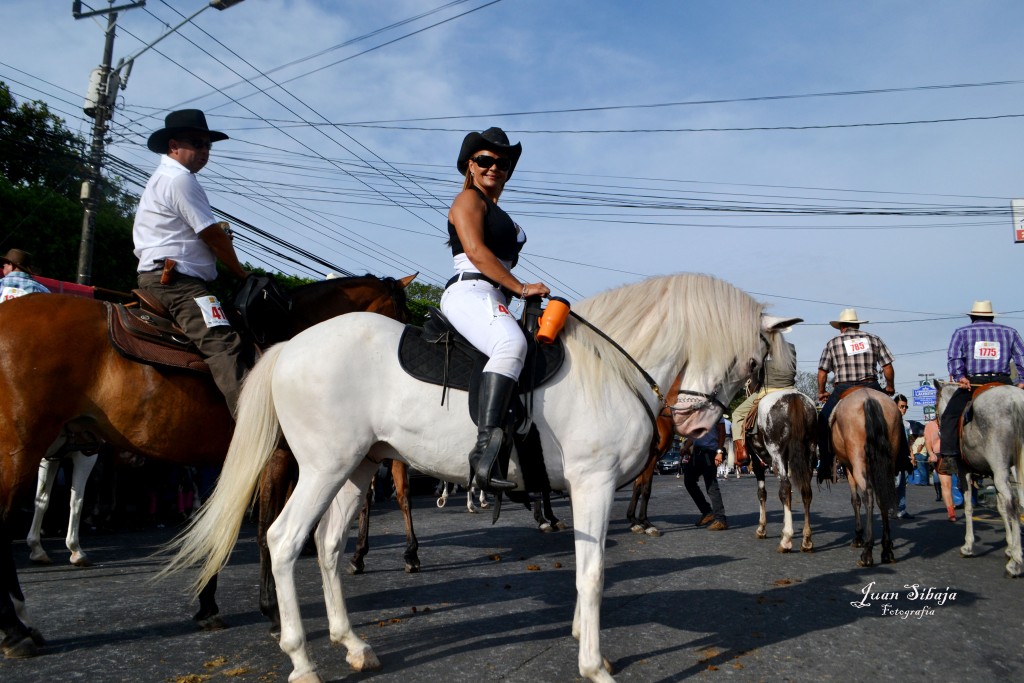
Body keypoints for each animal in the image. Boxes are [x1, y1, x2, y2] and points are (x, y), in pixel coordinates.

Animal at [1, 274, 415, 626]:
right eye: (403, 318)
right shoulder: (275, 457)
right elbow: (264, 525)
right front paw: (271, 607)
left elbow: (221, 518)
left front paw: (208, 602)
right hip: (23, 445)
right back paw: (17, 625)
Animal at [161, 274, 790, 683]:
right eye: (754, 361)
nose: (698, 428)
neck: (611, 366)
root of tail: (290, 346)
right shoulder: (593, 483)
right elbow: (592, 575)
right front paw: (593, 664)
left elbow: (584, 569)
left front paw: (584, 641)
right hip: (323, 467)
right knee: (283, 540)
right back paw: (302, 660)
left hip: (356, 468)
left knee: (327, 544)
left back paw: (353, 645)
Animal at [827, 387, 901, 569]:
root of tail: (869, 398)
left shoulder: (848, 467)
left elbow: (855, 500)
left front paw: (859, 537)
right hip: (889, 459)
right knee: (882, 496)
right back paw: (886, 549)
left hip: (857, 460)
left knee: (868, 495)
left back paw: (867, 551)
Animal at [937, 378, 1024, 577]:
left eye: (936, 411)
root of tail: (1014, 399)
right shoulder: (993, 472)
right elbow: (1001, 508)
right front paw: (1009, 546)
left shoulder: (965, 472)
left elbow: (969, 507)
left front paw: (968, 545)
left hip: (1001, 467)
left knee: (1014, 503)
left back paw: (1016, 563)